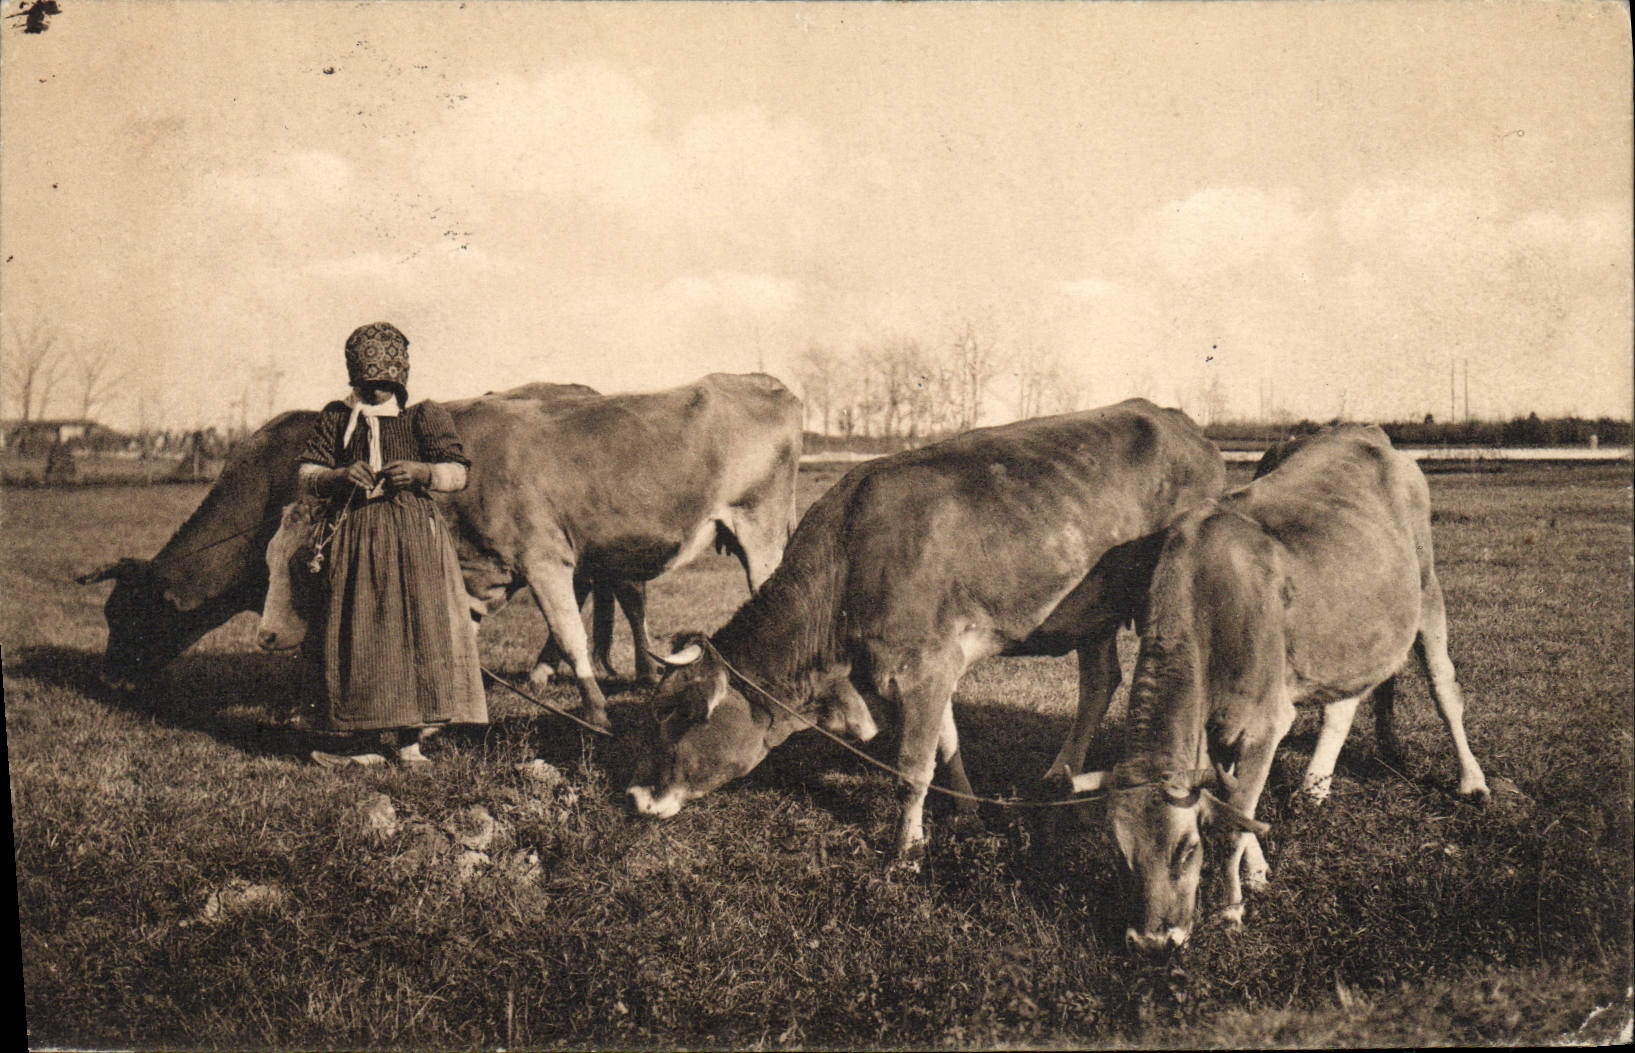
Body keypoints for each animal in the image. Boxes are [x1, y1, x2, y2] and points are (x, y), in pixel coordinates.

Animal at [255, 373, 804, 730]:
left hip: (760, 531)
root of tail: (765, 382)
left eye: (307, 566)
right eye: (268, 559)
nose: (265, 636)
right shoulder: (479, 575)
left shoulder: (544, 561)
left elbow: (570, 635)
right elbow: (460, 639)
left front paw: (597, 713)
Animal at [625, 399, 1226, 860]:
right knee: (1100, 680)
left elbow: (912, 765)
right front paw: (966, 812)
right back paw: (1060, 776)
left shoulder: (922, 665)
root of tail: (1175, 419)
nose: (635, 797)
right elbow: (946, 743)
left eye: (679, 714)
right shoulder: (934, 666)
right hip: (1095, 610)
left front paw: (906, 850)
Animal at [1070, 424, 1490, 955]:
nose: (1151, 942)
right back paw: (1322, 783)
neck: (1205, 596)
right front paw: (1258, 872)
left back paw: (1472, 781)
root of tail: (1363, 430)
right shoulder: (1221, 724)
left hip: (1427, 588)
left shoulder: (1264, 721)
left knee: (1444, 689)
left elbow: (1233, 819)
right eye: (1122, 853)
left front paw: (1231, 909)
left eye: (1186, 850)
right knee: (1348, 700)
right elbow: (1234, 803)